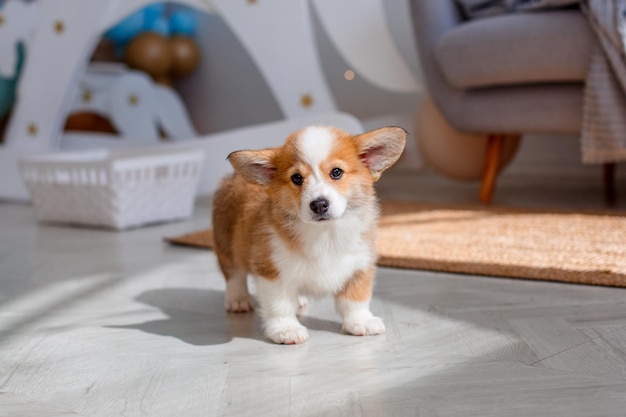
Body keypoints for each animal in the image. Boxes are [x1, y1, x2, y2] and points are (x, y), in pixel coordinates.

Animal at [211, 124, 404, 344]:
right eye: (296, 178)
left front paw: (361, 322)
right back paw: (238, 300)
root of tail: (233, 177)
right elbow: (279, 305)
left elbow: (355, 300)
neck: (325, 233)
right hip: (225, 244)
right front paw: (286, 329)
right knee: (234, 274)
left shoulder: (360, 265)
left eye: (336, 172)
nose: (319, 204)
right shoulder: (272, 271)